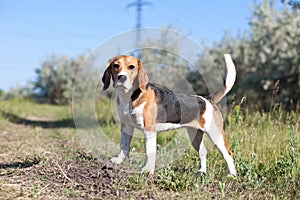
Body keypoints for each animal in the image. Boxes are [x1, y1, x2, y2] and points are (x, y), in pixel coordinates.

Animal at [102, 54, 237, 176]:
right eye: (115, 65)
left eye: (131, 67)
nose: (122, 77)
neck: (128, 96)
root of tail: (207, 99)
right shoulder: (126, 126)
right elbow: (124, 145)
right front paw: (118, 160)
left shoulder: (149, 130)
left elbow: (149, 152)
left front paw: (147, 170)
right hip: (194, 134)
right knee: (203, 151)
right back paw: (201, 172)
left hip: (215, 133)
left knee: (228, 154)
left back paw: (232, 175)